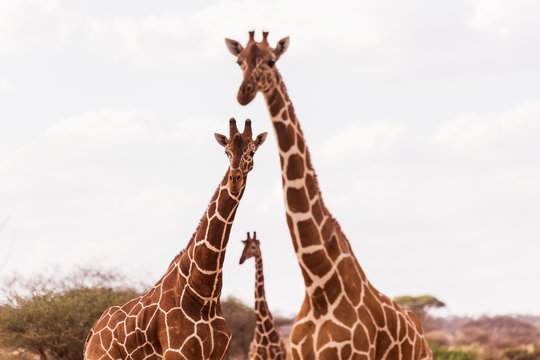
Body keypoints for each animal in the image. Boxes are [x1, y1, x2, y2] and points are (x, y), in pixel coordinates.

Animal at [84, 119, 268, 360]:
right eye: (226, 152)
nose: (234, 179)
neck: (205, 295)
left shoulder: (217, 354)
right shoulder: (177, 352)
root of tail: (91, 335)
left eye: (252, 151)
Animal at [225, 31, 434, 360]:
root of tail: (420, 332)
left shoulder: (352, 354)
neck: (319, 282)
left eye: (271, 61)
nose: (244, 93)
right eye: (239, 61)